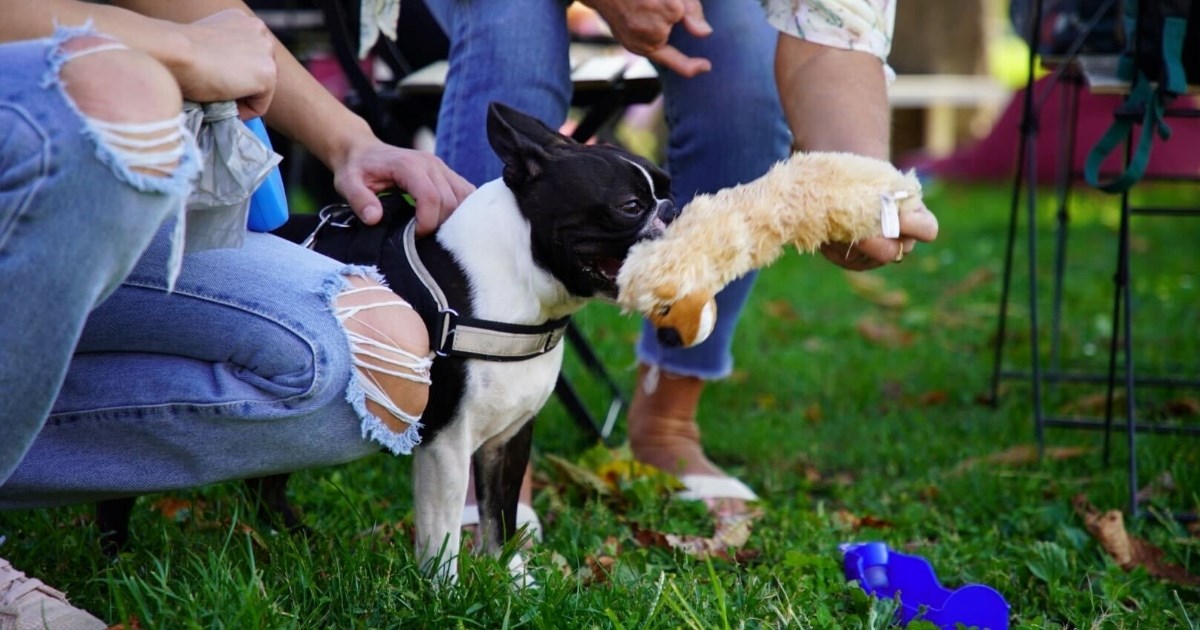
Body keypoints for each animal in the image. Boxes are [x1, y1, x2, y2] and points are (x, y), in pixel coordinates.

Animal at [100, 102, 676, 580]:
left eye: (666, 187)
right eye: (630, 206)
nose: (671, 208)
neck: (523, 285)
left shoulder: (509, 440)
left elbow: (501, 520)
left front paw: (515, 583)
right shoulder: (447, 441)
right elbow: (444, 530)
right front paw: (447, 593)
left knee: (267, 478)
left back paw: (297, 541)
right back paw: (116, 563)